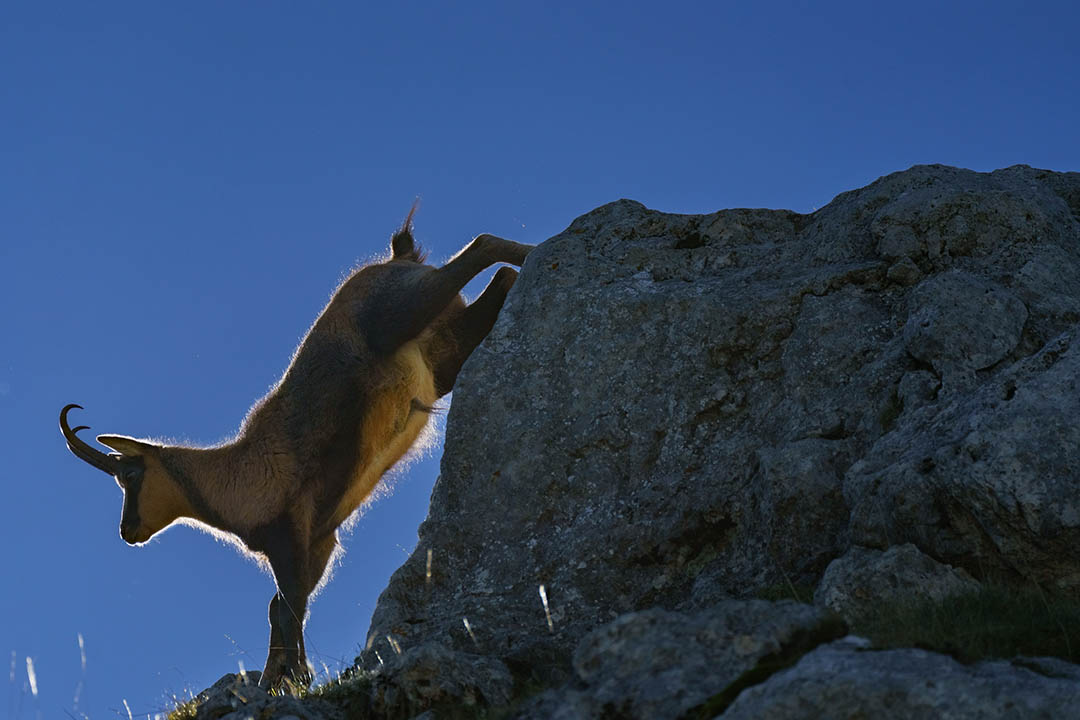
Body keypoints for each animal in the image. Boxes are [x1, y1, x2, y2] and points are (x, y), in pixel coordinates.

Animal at [59, 207, 533, 690]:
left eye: (130, 475)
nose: (127, 531)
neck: (230, 476)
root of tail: (397, 257)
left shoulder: (289, 532)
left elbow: (288, 608)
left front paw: (295, 677)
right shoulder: (320, 539)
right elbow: (282, 608)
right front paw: (281, 676)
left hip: (403, 311)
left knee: (481, 247)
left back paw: (534, 251)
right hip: (442, 355)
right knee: (499, 281)